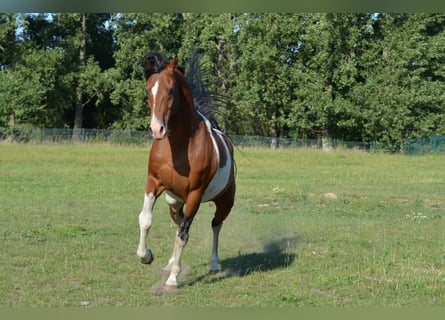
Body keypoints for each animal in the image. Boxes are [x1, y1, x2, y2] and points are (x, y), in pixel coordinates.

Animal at [136, 52, 236, 290]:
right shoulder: (153, 183)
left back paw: (214, 264)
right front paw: (146, 256)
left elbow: (184, 235)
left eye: (171, 90)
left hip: (225, 201)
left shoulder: (194, 195)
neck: (180, 146)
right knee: (177, 222)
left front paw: (173, 280)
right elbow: (146, 219)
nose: (157, 129)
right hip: (173, 202)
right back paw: (169, 263)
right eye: (148, 90)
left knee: (216, 225)